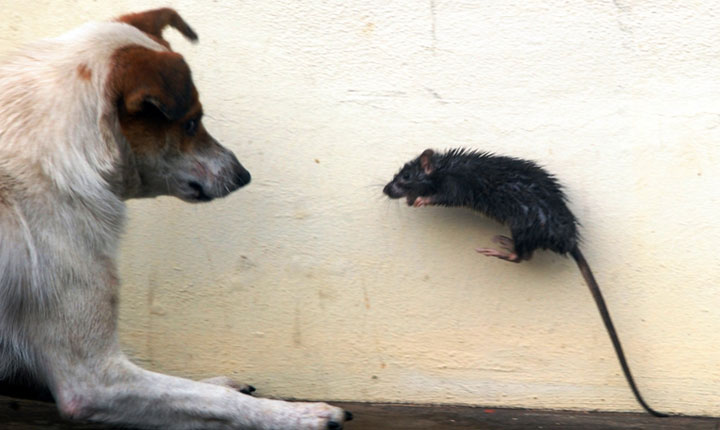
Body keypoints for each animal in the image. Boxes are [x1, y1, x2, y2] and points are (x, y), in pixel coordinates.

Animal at [0, 8, 352, 428]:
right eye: (191, 122)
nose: (243, 175)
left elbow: (191, 390)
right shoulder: (90, 379)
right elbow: (212, 400)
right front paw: (297, 415)